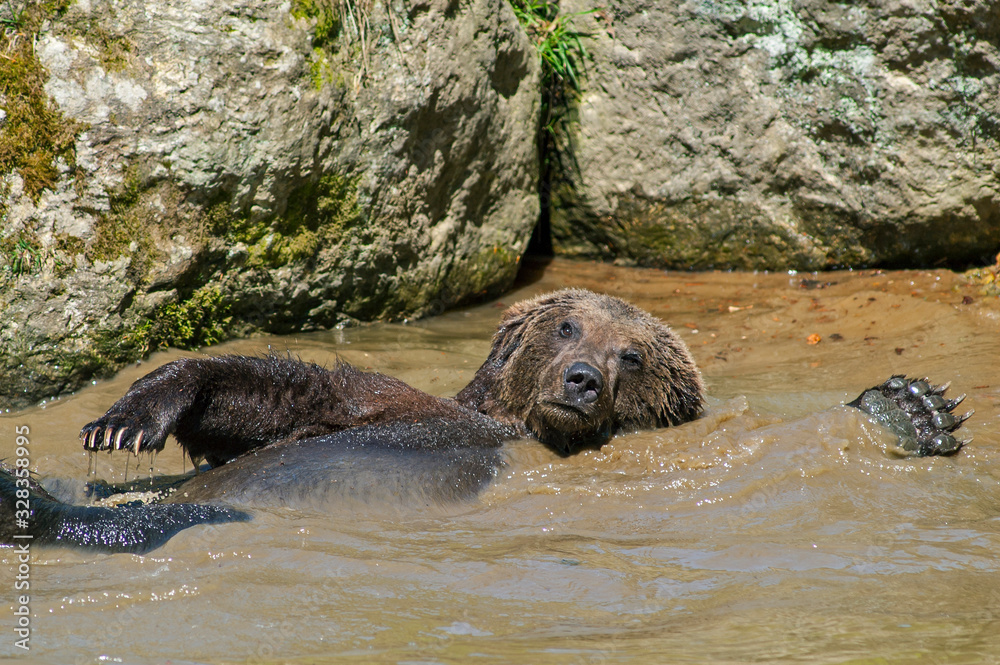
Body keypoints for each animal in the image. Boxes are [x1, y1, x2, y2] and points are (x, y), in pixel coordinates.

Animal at [0, 289, 971, 553]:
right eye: (569, 323)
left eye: (634, 356)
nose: (582, 379)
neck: (519, 429)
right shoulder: (383, 403)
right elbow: (275, 395)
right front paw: (129, 416)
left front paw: (914, 408)